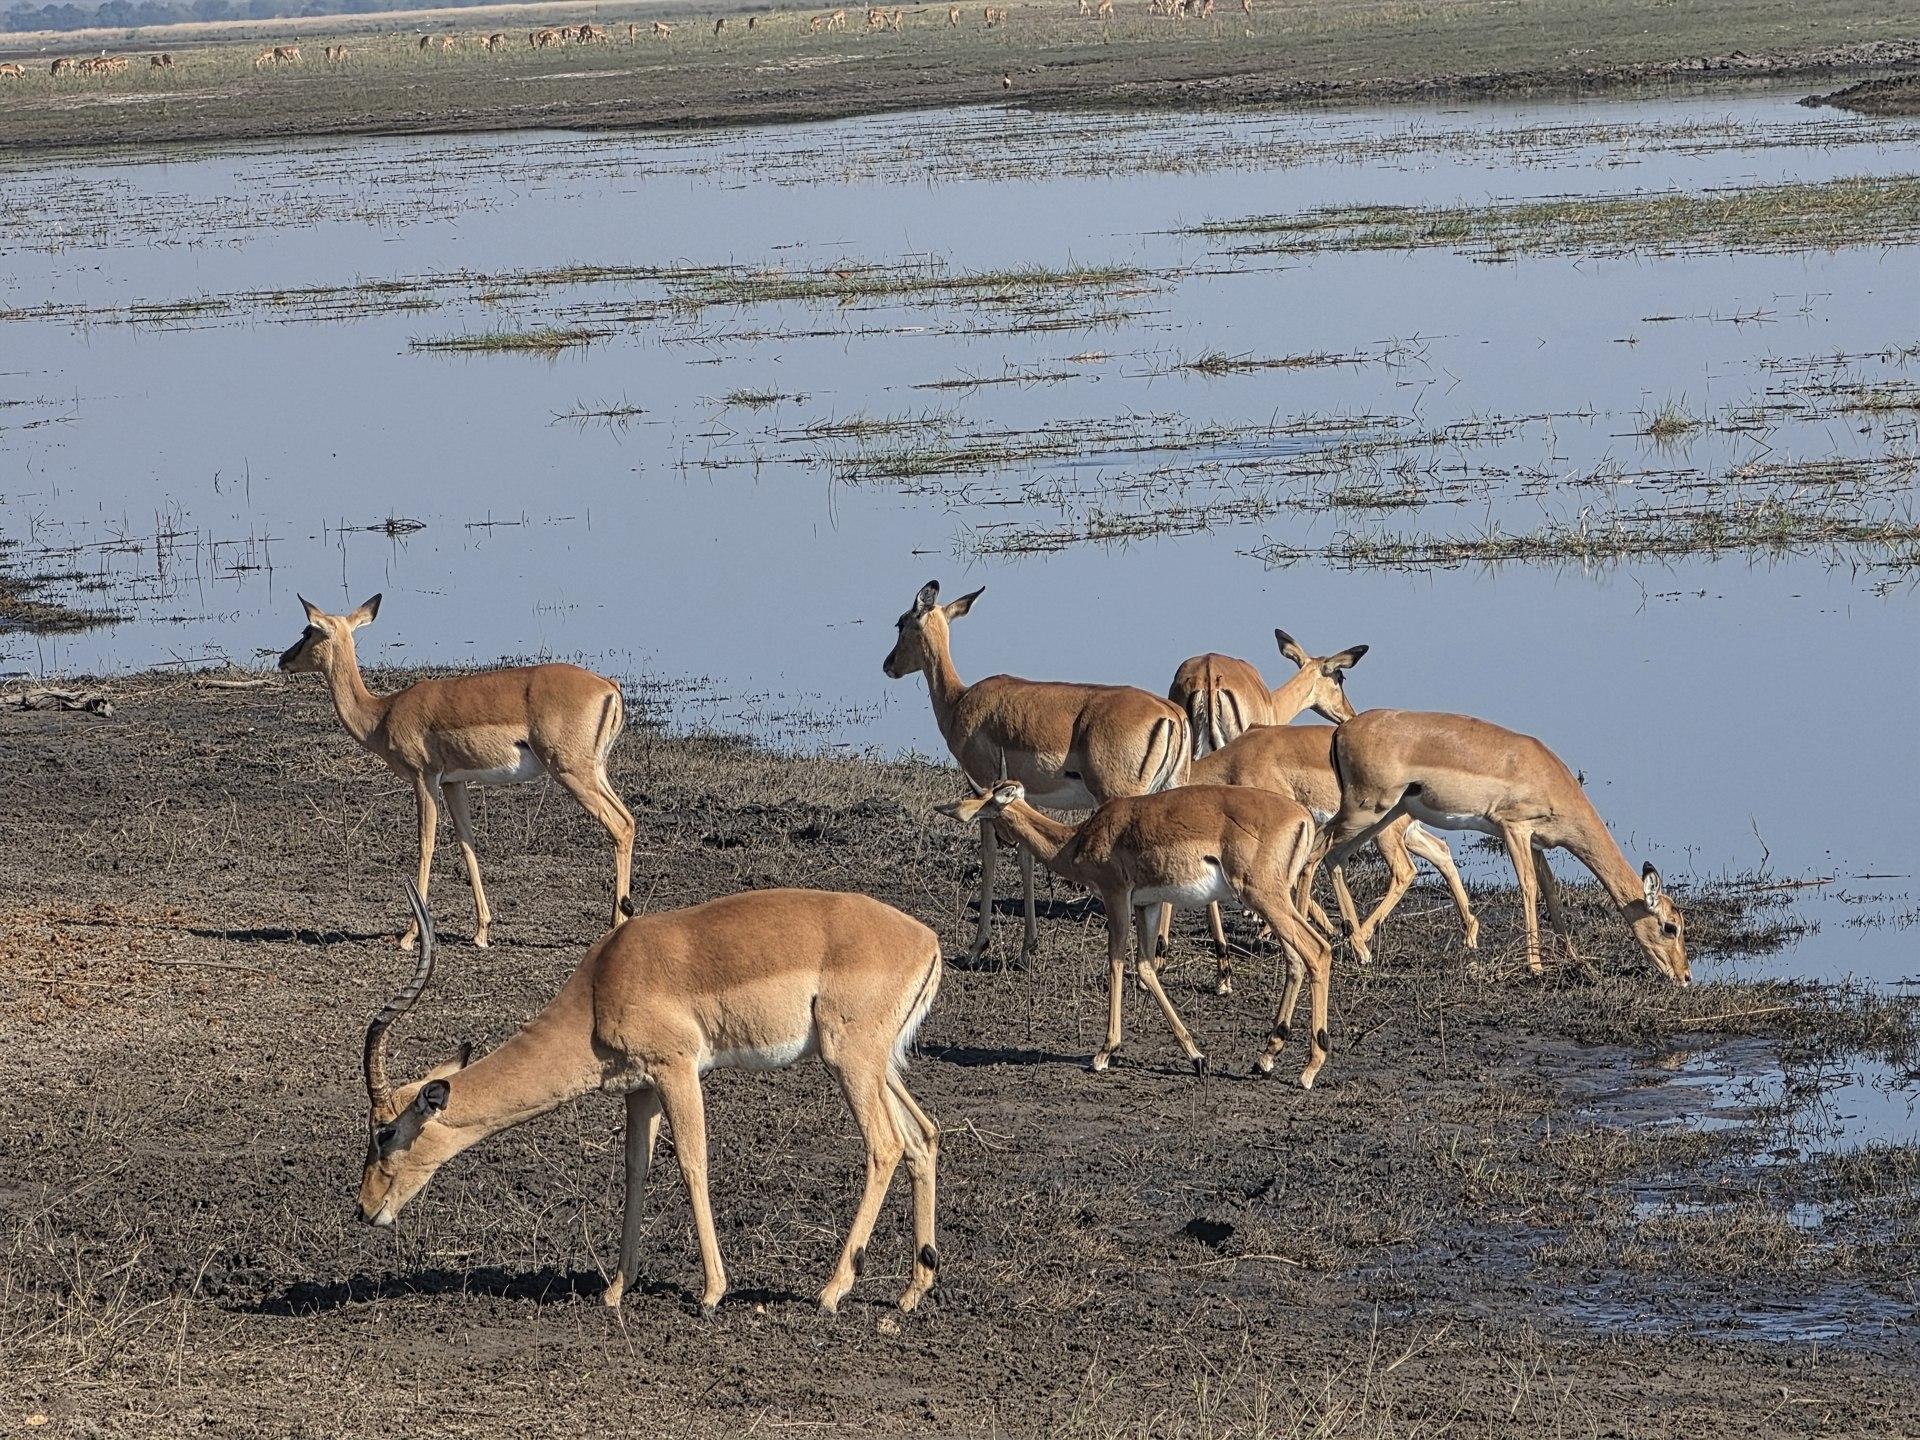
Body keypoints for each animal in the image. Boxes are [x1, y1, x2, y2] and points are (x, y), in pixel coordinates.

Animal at [277, 595, 634, 949]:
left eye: (308, 631)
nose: (283, 659)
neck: (382, 714)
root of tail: (608, 687)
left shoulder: (424, 777)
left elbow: (426, 843)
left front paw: (408, 936)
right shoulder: (454, 782)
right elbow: (467, 843)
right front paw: (481, 932)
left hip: (571, 772)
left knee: (619, 827)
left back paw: (615, 926)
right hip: (594, 772)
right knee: (629, 821)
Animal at [360, 884, 943, 1315]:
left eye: (385, 1131)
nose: (366, 1209)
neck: (603, 985)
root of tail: (928, 941)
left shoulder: (677, 1070)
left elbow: (692, 1163)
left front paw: (711, 1293)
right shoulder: (641, 1090)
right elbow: (635, 1169)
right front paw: (616, 1288)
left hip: (851, 1060)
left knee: (885, 1145)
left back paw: (832, 1291)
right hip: (876, 1066)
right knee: (923, 1136)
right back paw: (911, 1293)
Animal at [883, 581, 1189, 961]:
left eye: (900, 623)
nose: (888, 664)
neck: (960, 701)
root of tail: (1170, 713)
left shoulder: (983, 788)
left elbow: (991, 856)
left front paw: (978, 947)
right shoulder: (1024, 795)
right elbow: (1027, 856)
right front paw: (1029, 944)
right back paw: (1161, 944)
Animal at [936, 781, 1336, 1087]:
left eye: (987, 802)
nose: (957, 810)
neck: (1079, 839)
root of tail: (1302, 817)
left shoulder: (1116, 895)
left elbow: (1115, 961)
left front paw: (1104, 1052)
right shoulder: (1149, 903)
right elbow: (1145, 966)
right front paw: (1197, 1056)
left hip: (1265, 897)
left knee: (1317, 950)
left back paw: (1308, 1070)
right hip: (1276, 902)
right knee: (1297, 959)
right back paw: (1265, 1058)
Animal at [1311, 710, 1689, 983]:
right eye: (1670, 926)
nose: (1684, 976)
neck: (1549, 777)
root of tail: (1343, 730)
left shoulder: (1536, 844)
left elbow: (1551, 892)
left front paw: (1577, 960)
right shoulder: (1514, 830)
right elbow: (1529, 888)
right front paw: (1536, 967)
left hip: (1381, 818)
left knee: (1335, 858)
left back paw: (1359, 947)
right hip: (1364, 813)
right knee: (1316, 849)